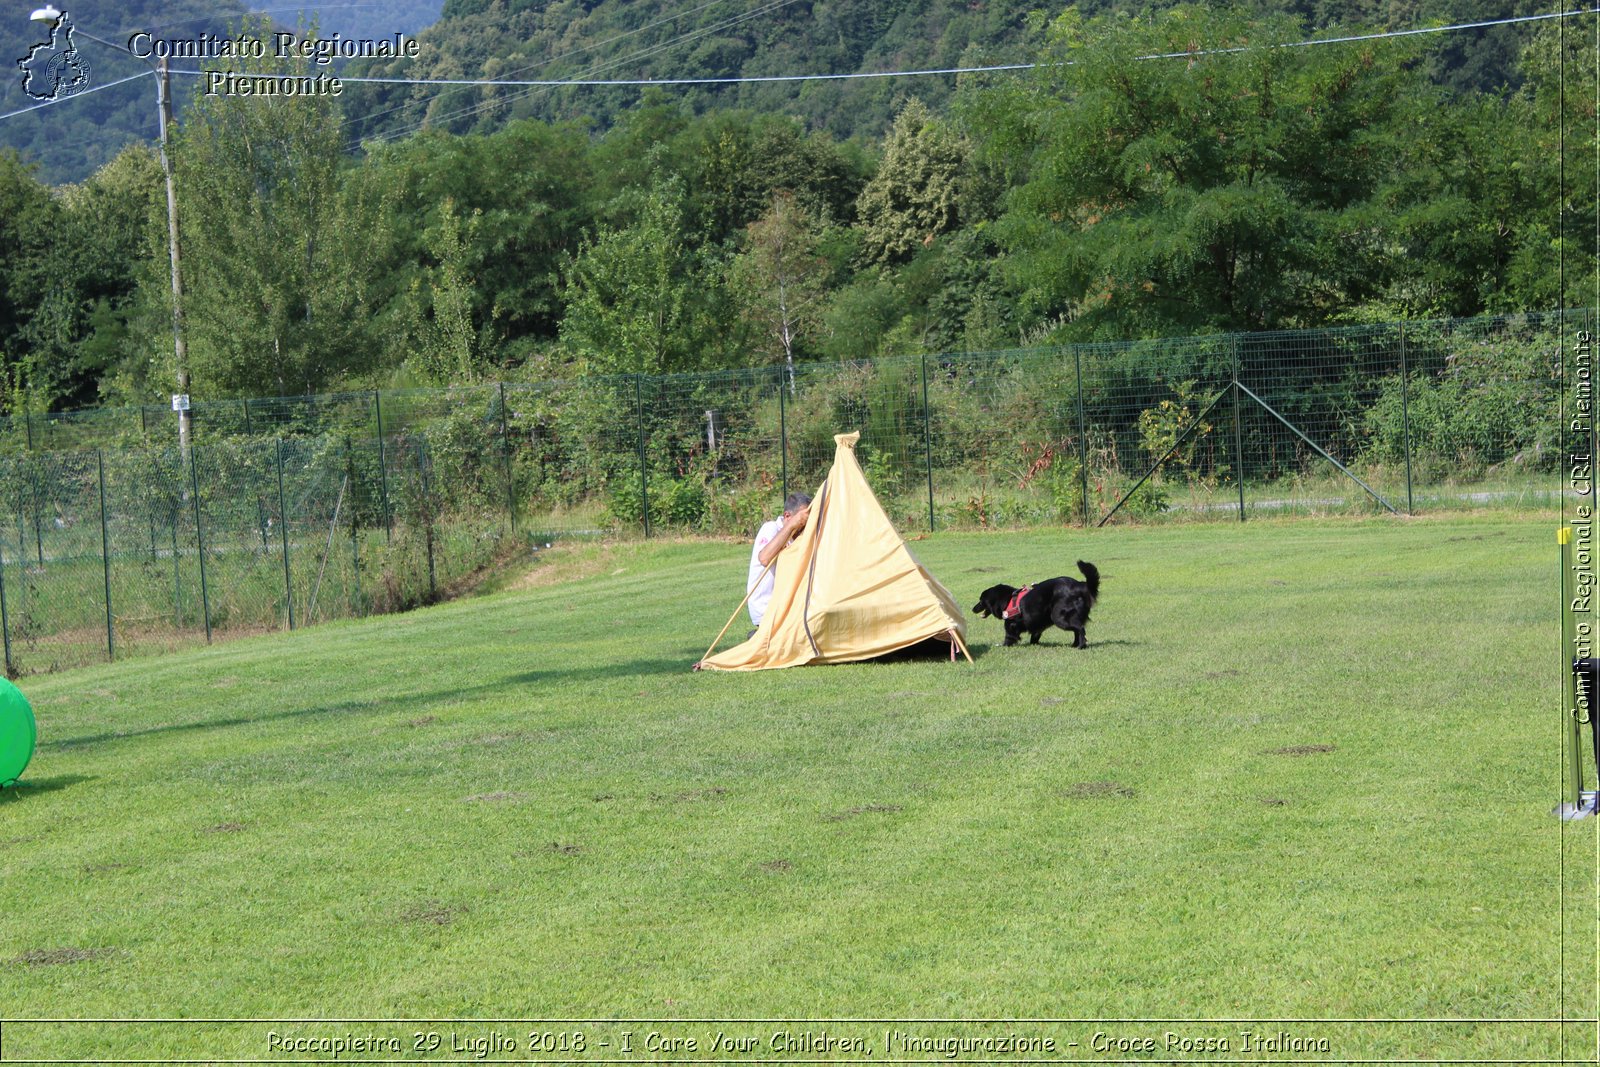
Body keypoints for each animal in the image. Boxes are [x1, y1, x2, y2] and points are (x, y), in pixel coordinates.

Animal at [972, 563, 1100, 646]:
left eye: (981, 600)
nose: (972, 609)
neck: (1007, 599)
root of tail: (1080, 585)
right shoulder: (1037, 622)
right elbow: (1035, 634)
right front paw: (1034, 643)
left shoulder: (1010, 623)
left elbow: (1009, 636)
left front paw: (1005, 645)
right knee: (1077, 630)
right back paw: (1074, 645)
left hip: (1059, 616)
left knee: (1080, 628)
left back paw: (1081, 646)